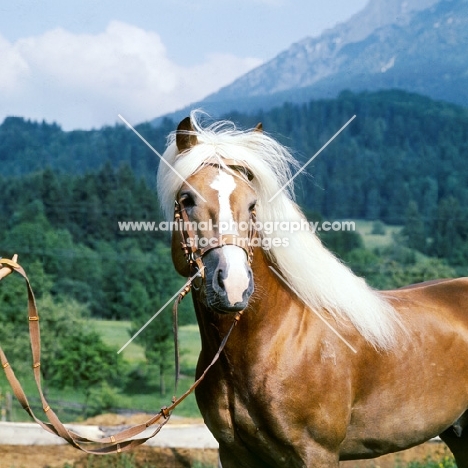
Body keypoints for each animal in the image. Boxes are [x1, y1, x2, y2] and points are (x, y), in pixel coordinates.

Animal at [156, 111, 468, 466]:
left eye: (252, 204)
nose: (232, 285)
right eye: (187, 199)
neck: (275, 341)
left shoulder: (317, 453)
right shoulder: (233, 453)